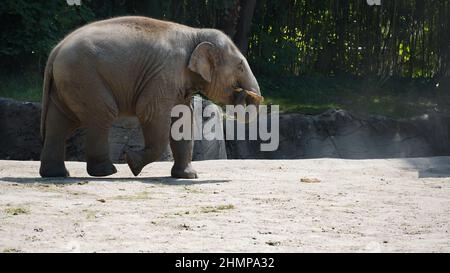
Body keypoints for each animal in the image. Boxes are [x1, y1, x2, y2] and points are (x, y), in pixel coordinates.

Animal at [41, 16, 264, 178]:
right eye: (240, 66)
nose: (244, 94)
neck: (194, 33)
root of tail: (56, 50)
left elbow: (183, 120)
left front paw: (188, 176)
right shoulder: (164, 73)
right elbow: (150, 113)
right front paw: (132, 162)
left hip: (68, 82)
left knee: (59, 123)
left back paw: (57, 174)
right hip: (85, 77)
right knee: (102, 114)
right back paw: (106, 172)